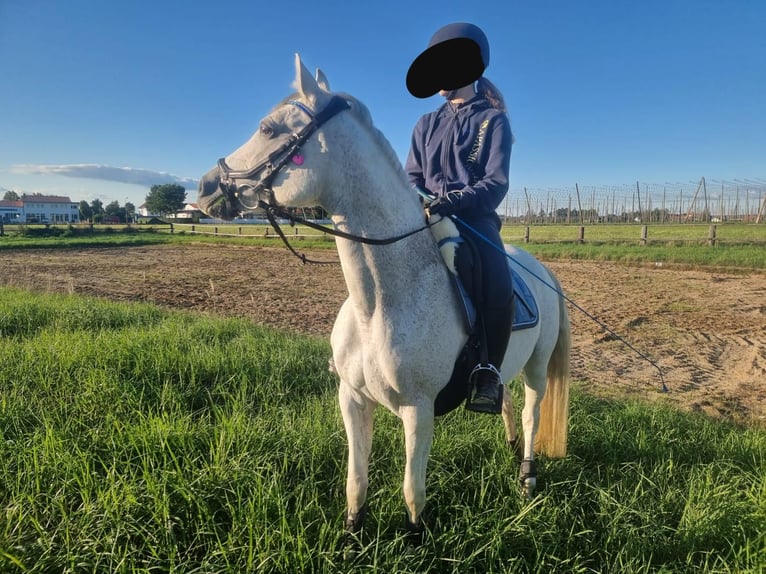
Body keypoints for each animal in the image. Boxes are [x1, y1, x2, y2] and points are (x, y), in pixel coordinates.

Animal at [198, 54, 568, 540]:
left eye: (268, 128)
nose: (205, 188)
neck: (379, 305)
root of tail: (539, 268)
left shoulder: (419, 410)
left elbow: (413, 491)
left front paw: (417, 539)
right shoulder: (353, 399)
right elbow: (356, 481)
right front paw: (352, 536)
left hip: (538, 368)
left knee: (530, 414)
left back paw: (526, 478)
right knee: (505, 400)